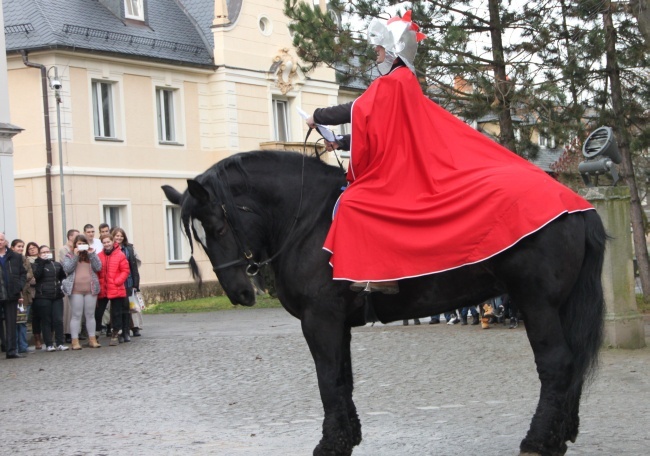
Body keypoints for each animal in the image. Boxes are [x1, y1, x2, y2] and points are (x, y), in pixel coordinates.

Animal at [161, 151, 604, 456]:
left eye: (217, 226)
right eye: (199, 235)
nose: (238, 292)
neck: (309, 219)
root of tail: (575, 203)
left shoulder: (319, 320)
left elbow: (327, 379)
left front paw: (330, 443)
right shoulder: (336, 323)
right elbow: (342, 378)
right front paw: (347, 436)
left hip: (537, 304)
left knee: (556, 365)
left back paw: (539, 440)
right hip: (559, 306)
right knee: (572, 364)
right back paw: (563, 432)